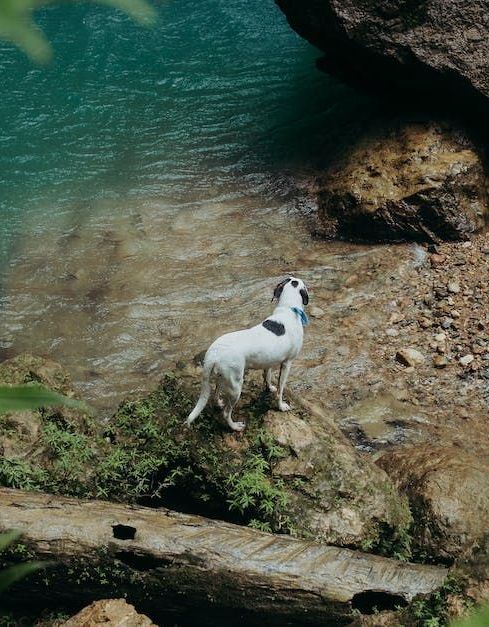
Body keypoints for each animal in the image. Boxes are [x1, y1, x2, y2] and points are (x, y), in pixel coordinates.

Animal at [185, 278, 306, 432]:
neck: (288, 309)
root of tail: (214, 352)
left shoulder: (269, 361)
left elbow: (267, 377)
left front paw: (269, 388)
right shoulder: (287, 364)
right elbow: (280, 389)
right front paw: (281, 406)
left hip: (223, 377)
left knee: (216, 392)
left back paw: (219, 402)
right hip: (236, 386)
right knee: (226, 413)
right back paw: (235, 426)